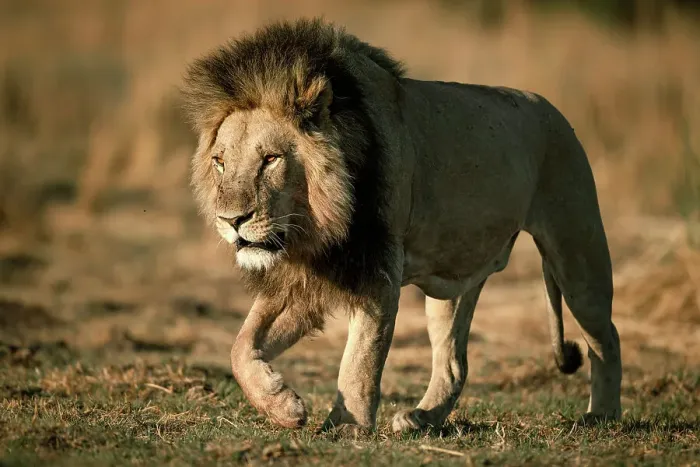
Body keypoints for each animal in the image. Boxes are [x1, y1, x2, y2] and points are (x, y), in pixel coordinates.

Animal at [181, 18, 622, 432]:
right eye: (220, 162)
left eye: (270, 159)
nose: (231, 220)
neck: (316, 227)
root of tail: (551, 109)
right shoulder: (306, 275)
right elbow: (241, 346)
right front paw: (283, 405)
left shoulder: (377, 270)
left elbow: (360, 360)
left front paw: (347, 428)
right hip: (451, 283)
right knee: (454, 363)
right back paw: (421, 419)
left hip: (577, 250)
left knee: (606, 337)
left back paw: (602, 415)